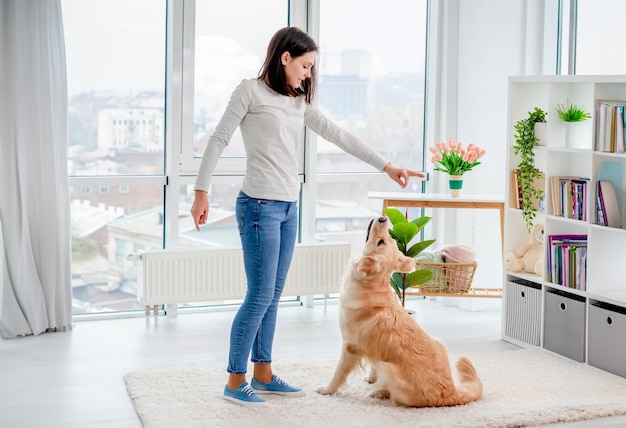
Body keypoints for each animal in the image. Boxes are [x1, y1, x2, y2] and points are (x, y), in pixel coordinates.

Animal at [316, 217, 482, 408]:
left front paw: (327, 390)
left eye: (381, 241)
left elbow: (339, 373)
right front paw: (371, 378)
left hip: (388, 367)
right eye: (387, 240)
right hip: (439, 342)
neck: (371, 287)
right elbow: (372, 363)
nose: (383, 219)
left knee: (394, 396)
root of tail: (450, 393)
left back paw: (379, 391)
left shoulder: (350, 346)